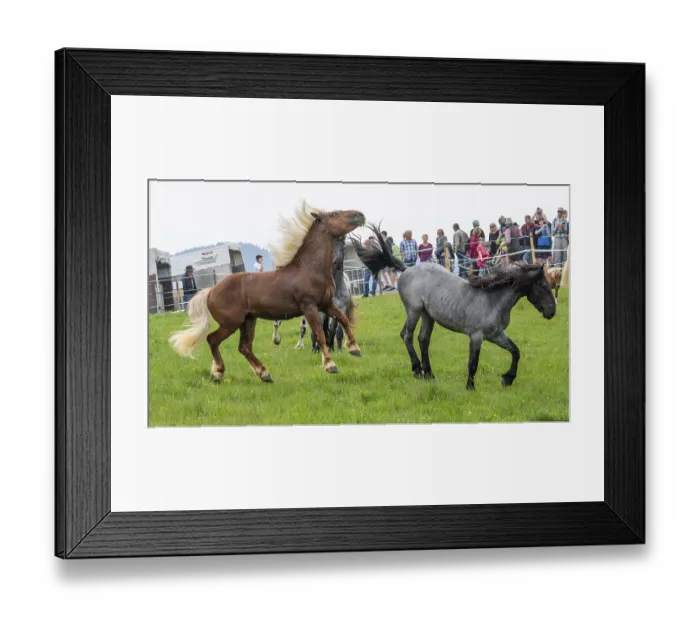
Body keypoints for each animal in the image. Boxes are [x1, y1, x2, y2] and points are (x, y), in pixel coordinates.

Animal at [168, 202, 366, 382]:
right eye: (334, 214)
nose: (360, 215)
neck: (310, 269)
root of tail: (210, 291)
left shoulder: (326, 304)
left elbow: (343, 319)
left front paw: (354, 349)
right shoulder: (309, 307)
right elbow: (320, 334)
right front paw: (330, 365)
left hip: (248, 320)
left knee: (244, 347)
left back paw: (264, 374)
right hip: (231, 322)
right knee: (212, 339)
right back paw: (218, 373)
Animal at [397, 261, 556, 389]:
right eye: (543, 285)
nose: (552, 312)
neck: (493, 301)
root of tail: (407, 269)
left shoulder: (496, 335)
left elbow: (515, 351)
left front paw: (507, 379)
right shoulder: (476, 336)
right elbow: (473, 363)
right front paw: (470, 387)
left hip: (428, 315)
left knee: (423, 339)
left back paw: (429, 375)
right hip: (414, 310)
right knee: (407, 335)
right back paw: (417, 370)